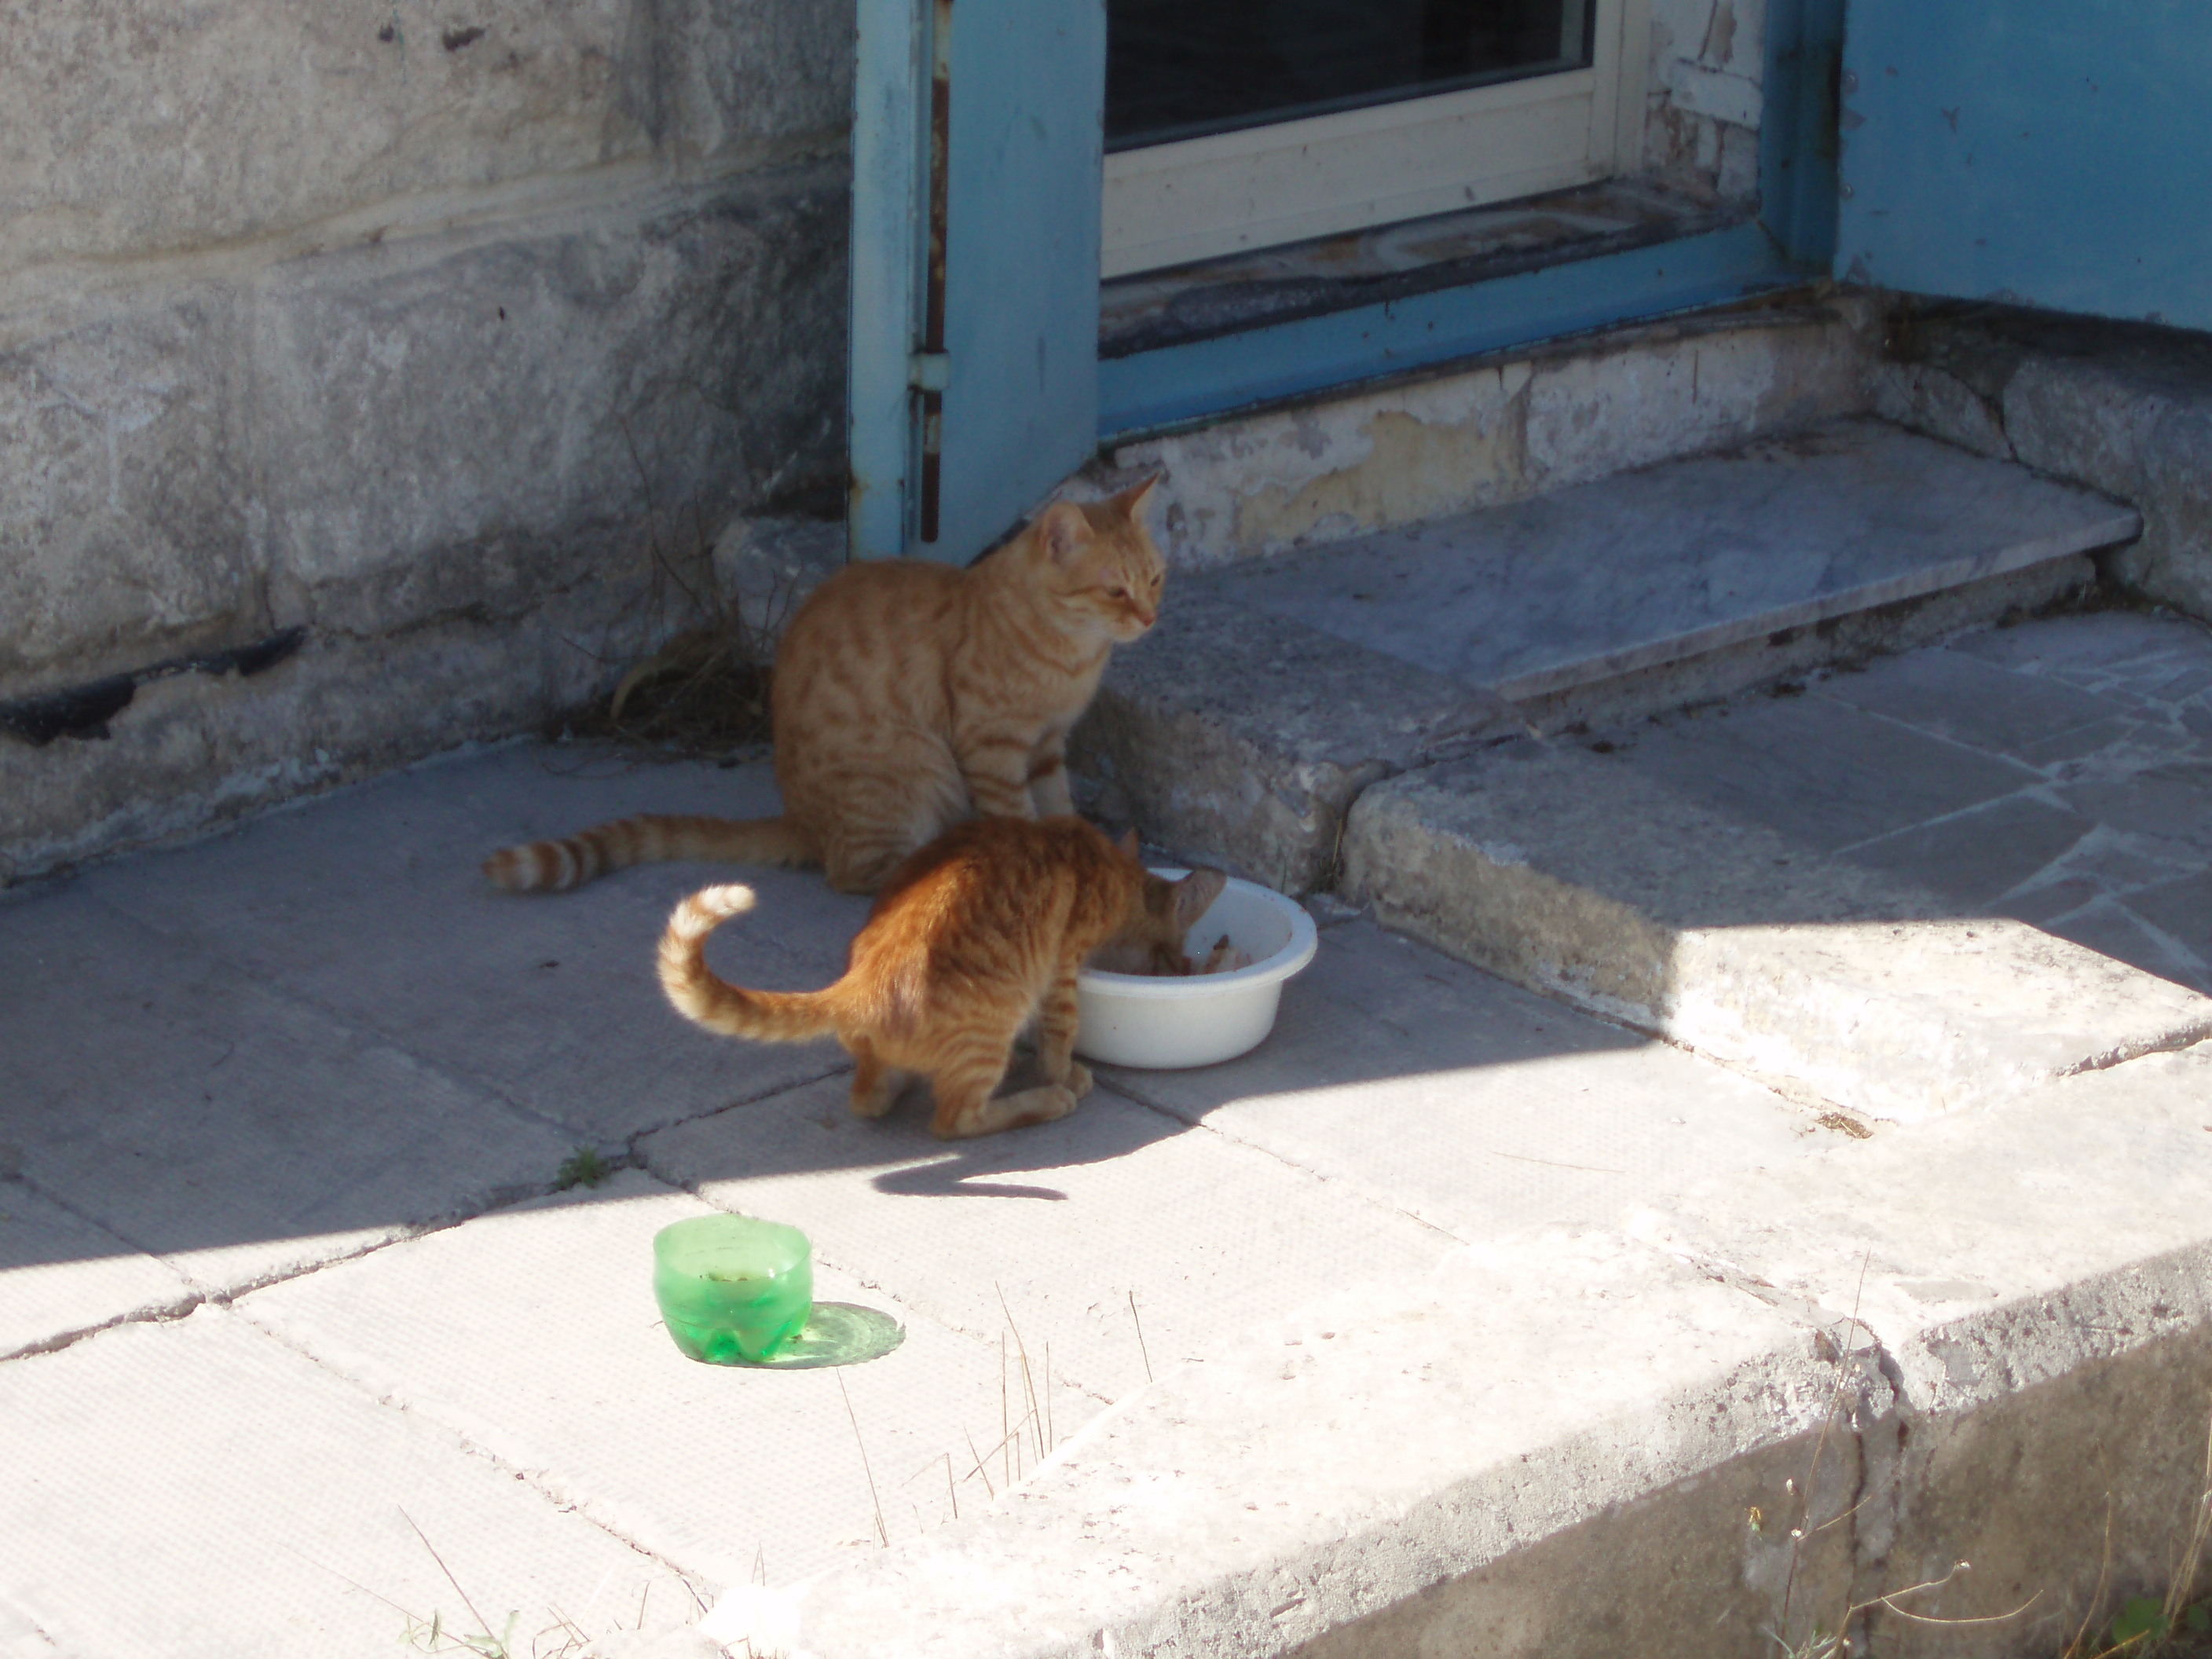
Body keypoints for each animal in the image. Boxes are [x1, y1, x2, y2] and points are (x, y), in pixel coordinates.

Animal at [478, 480, 1167, 898]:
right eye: (1115, 590)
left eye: (1157, 578)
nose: (1150, 619)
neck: (1073, 655)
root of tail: (800, 818)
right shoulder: (992, 748)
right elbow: (1020, 817)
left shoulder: (1047, 745)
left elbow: (1059, 805)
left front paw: (1080, 850)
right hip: (911, 769)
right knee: (855, 872)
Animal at [650, 818, 1229, 1141]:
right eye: (1173, 957)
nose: (1181, 966)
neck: (1105, 862)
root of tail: (855, 987)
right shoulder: (1063, 970)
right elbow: (1059, 1038)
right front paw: (1064, 1076)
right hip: (991, 1030)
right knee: (954, 1121)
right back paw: (1043, 1102)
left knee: (869, 1097)